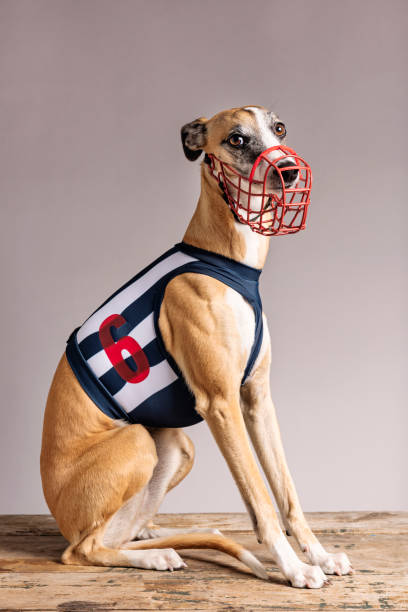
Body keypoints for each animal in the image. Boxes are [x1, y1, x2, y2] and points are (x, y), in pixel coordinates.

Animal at [42, 105, 354, 588]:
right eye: (237, 139)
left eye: (279, 128)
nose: (289, 170)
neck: (226, 258)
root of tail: (61, 517)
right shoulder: (221, 403)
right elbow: (261, 500)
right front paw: (294, 569)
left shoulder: (257, 399)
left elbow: (287, 493)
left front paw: (318, 556)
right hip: (137, 443)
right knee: (82, 551)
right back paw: (153, 555)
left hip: (176, 447)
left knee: (117, 534)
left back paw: (155, 538)